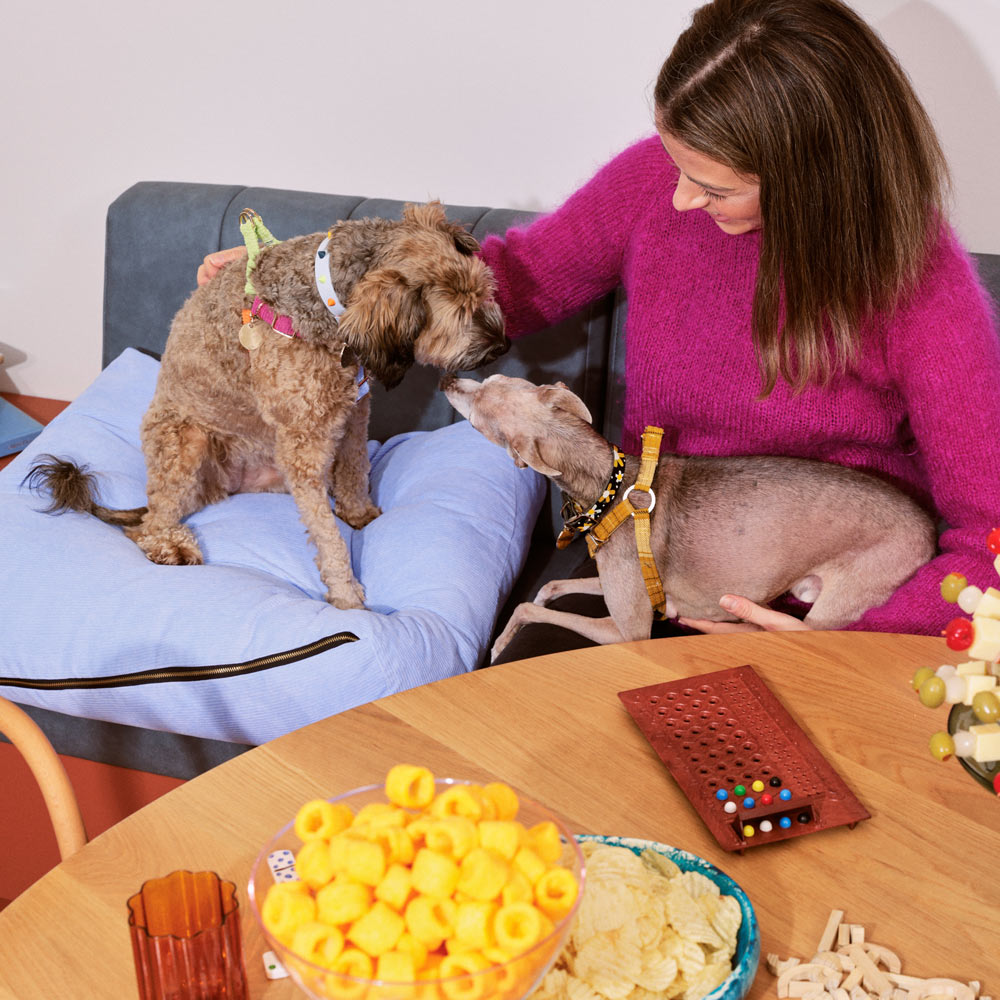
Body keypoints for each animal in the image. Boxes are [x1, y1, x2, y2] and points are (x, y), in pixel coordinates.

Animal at [31, 203, 508, 608]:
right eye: (460, 313)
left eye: (485, 291)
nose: (502, 345)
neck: (325, 300)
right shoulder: (303, 445)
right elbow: (326, 533)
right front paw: (347, 593)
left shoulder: (354, 413)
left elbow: (355, 470)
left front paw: (358, 513)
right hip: (186, 442)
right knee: (149, 525)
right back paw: (171, 545)